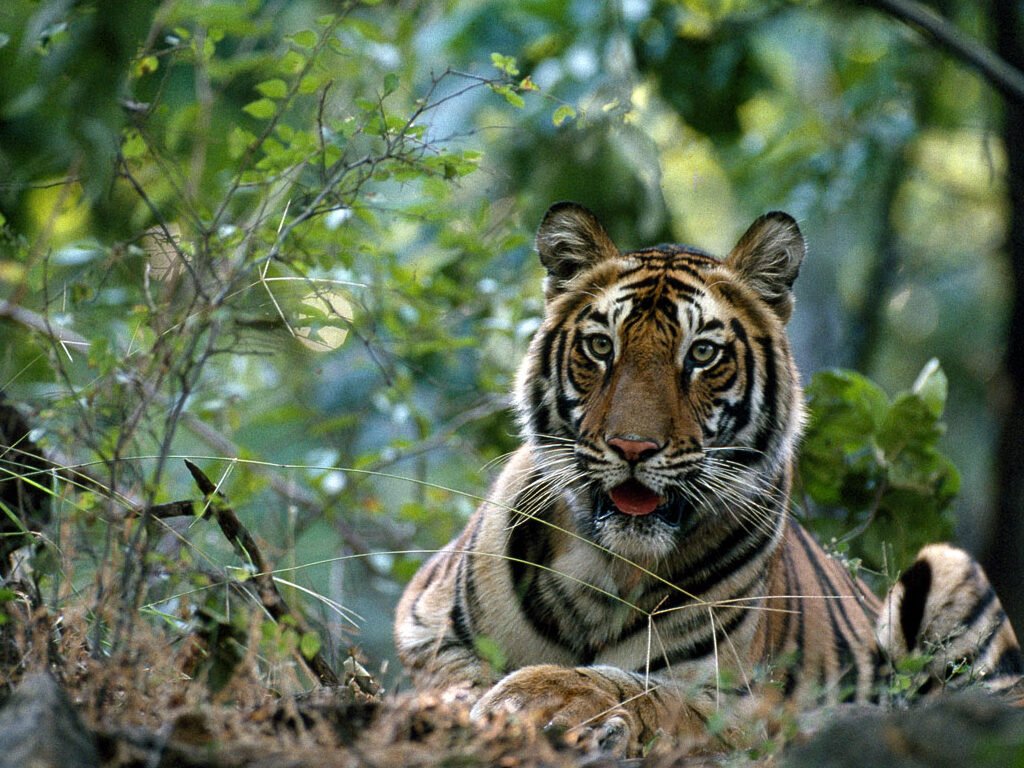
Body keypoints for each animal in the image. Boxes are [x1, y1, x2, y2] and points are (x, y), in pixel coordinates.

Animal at [394, 202, 1023, 756]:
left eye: (701, 354)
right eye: (601, 346)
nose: (633, 447)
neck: (610, 572)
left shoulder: (740, 702)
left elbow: (641, 688)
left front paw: (543, 695)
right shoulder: (422, 623)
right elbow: (455, 675)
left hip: (950, 569)